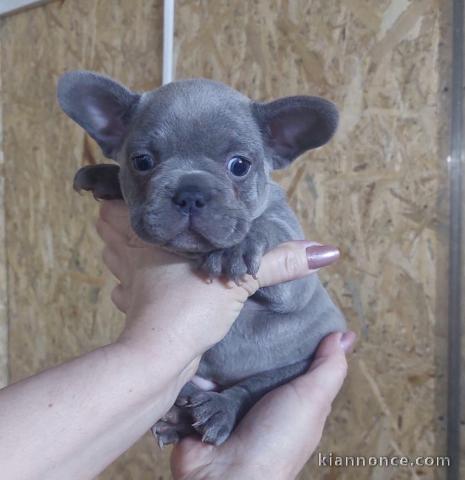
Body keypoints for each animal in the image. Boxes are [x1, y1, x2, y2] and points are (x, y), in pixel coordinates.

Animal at [56, 71, 344, 446]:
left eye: (239, 165)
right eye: (142, 162)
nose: (190, 192)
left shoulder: (295, 277)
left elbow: (267, 227)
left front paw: (236, 247)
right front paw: (104, 174)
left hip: (294, 368)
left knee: (252, 390)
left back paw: (219, 410)